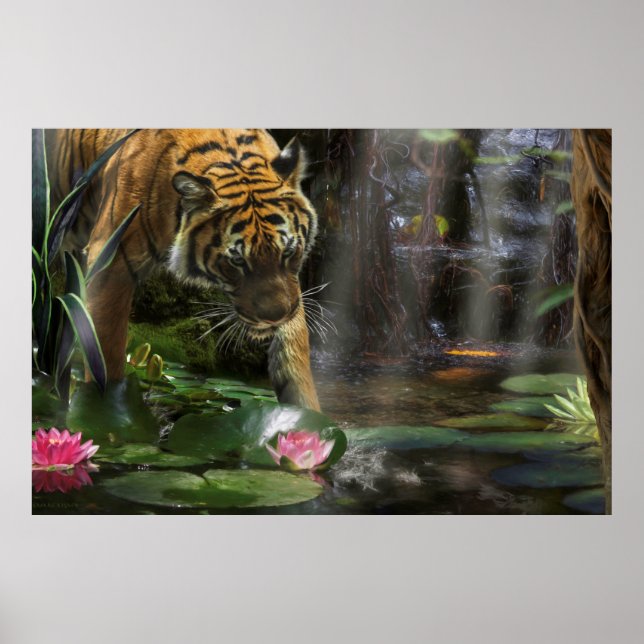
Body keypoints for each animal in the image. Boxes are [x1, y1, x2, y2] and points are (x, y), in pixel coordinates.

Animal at [46, 129, 320, 410]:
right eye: (237, 261)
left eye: (288, 252)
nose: (274, 318)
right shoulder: (110, 262)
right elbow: (106, 356)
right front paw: (103, 411)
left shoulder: (291, 291)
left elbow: (294, 358)